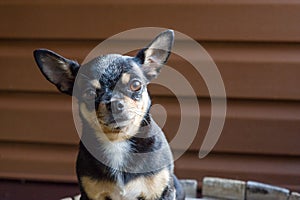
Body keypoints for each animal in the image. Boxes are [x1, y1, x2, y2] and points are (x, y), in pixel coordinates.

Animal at [32, 30, 183, 200]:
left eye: (136, 85)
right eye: (89, 93)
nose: (114, 103)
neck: (117, 140)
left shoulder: (163, 192)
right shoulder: (90, 195)